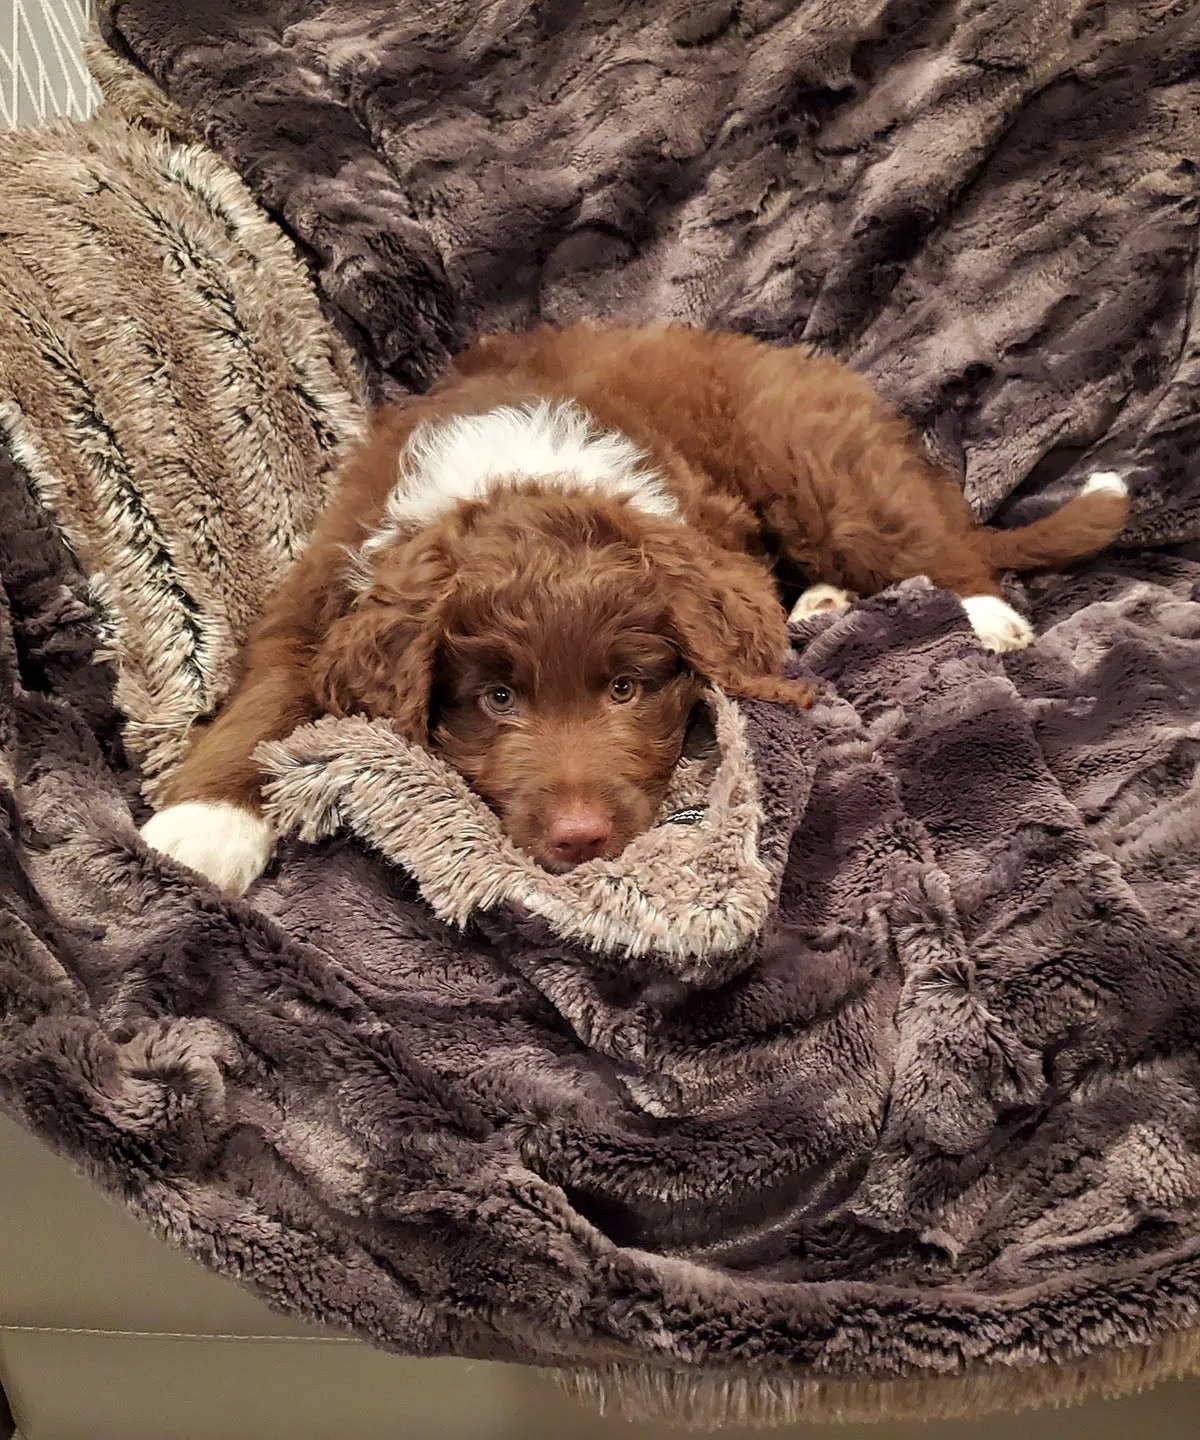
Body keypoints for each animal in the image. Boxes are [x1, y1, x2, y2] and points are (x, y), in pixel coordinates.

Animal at [138, 325, 1123, 887]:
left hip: (817, 465)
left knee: (935, 546)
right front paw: (197, 830)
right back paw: (821, 603)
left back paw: (987, 619)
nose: (580, 838)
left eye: (626, 689)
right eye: (497, 699)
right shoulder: (322, 592)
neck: (517, 473)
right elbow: (265, 701)